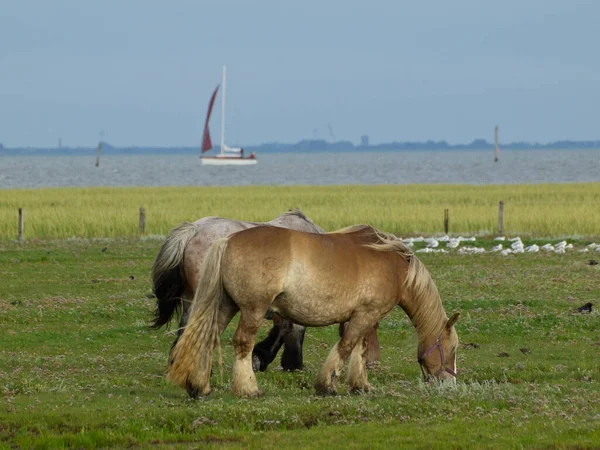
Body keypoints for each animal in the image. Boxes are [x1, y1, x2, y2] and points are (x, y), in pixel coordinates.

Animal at [152, 211, 382, 372]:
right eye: (373, 326)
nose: (373, 363)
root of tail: (193, 229)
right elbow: (293, 330)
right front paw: (287, 362)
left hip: (191, 298)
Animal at [166, 222, 458, 398]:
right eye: (453, 348)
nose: (450, 383)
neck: (394, 267)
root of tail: (227, 239)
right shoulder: (365, 316)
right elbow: (346, 348)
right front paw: (327, 384)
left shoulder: (365, 317)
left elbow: (360, 350)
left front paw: (360, 385)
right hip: (253, 310)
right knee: (242, 344)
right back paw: (248, 389)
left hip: (226, 306)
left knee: (206, 339)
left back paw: (199, 386)